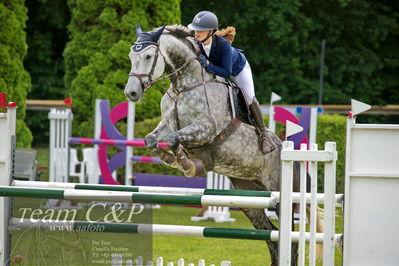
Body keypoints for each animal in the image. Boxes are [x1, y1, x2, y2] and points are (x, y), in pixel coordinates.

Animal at [123, 23, 324, 264]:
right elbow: (151, 139)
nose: (131, 93)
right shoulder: (167, 125)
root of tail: (295, 160)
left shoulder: (206, 128)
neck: (184, 85)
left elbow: (174, 139)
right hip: (248, 196)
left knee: (290, 241)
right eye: (131, 56)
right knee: (271, 234)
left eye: (148, 56)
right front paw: (171, 159)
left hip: (281, 195)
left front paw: (188, 165)